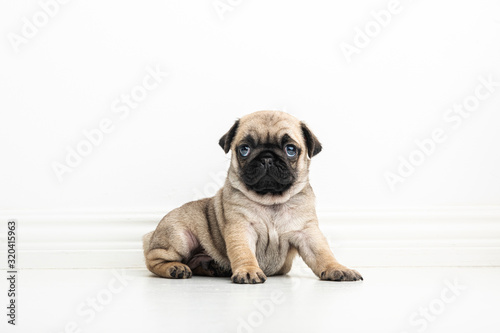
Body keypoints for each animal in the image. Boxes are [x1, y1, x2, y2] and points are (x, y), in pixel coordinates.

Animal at [143, 110, 362, 282]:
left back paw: (214, 267)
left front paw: (337, 268)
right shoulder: (241, 229)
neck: (271, 201)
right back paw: (175, 268)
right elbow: (243, 252)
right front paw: (248, 271)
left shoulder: (307, 233)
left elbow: (323, 254)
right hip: (179, 237)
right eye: (244, 149)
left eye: (290, 149)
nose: (267, 157)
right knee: (154, 259)